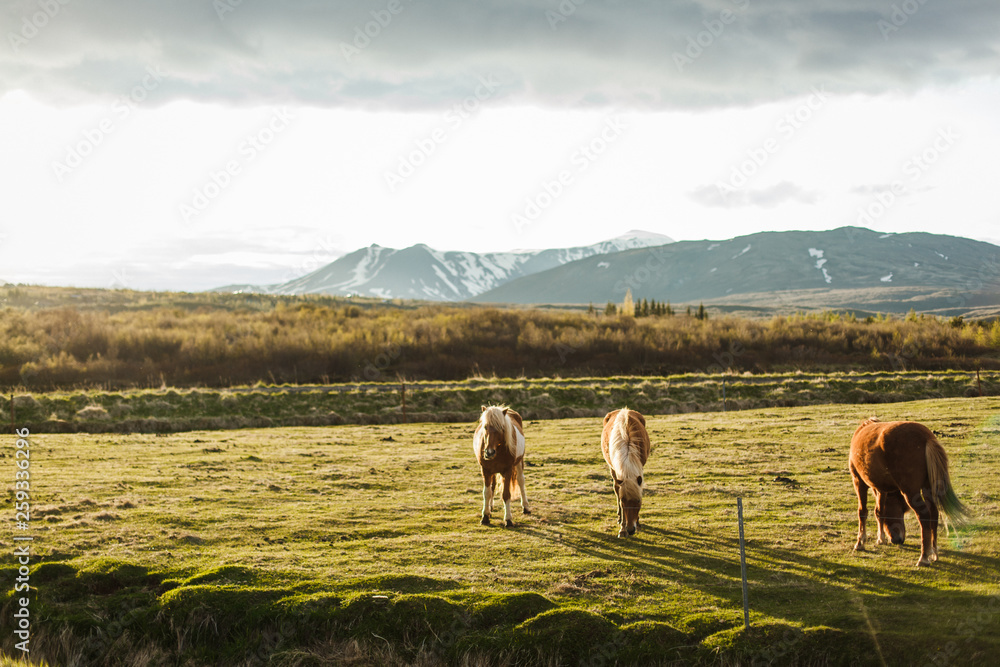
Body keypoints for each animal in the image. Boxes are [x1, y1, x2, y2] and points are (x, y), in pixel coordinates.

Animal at [601, 407, 651, 538]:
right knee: (615, 488)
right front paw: (622, 529)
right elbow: (619, 495)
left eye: (638, 501)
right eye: (624, 501)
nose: (631, 530)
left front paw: (638, 523)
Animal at [849, 418, 970, 566]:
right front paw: (881, 539)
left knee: (924, 515)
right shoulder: (881, 488)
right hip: (927, 488)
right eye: (902, 510)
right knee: (933, 514)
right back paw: (934, 553)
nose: (897, 540)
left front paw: (860, 542)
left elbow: (862, 512)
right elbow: (879, 512)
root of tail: (926, 438)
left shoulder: (858, 481)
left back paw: (923, 557)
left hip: (910, 492)